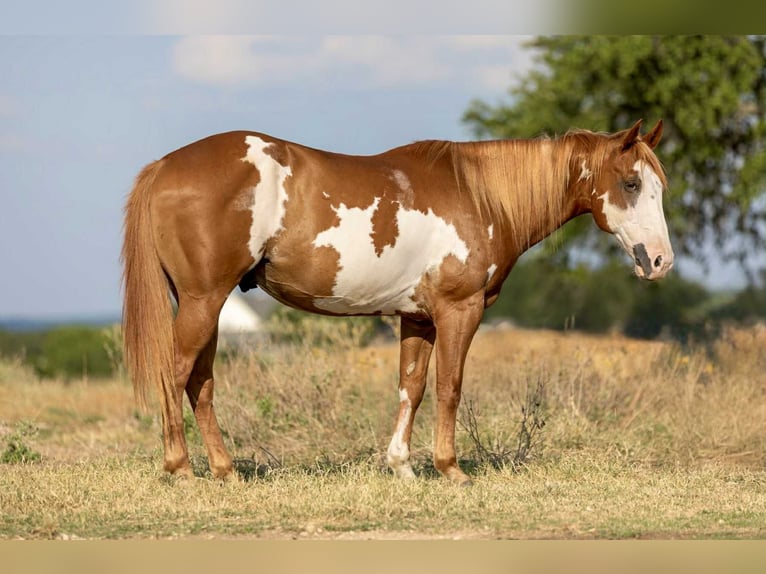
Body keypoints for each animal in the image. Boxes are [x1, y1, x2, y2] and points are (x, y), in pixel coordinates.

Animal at [122, 119, 672, 486]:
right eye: (631, 183)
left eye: (658, 187)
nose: (660, 261)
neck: (480, 196)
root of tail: (165, 166)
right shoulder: (458, 311)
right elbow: (450, 387)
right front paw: (451, 469)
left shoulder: (417, 318)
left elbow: (412, 388)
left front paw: (402, 466)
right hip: (202, 300)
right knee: (175, 373)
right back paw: (180, 468)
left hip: (204, 304)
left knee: (201, 383)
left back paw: (225, 470)